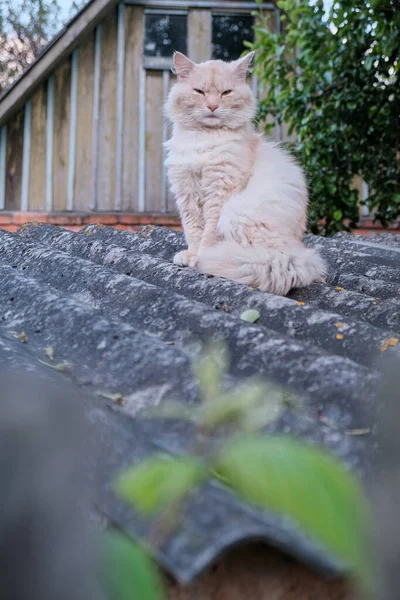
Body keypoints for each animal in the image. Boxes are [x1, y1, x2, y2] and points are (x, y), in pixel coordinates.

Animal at [164, 51, 326, 296]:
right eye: (199, 92)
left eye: (226, 93)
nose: (212, 106)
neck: (205, 139)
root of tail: (294, 254)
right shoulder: (187, 190)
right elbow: (193, 230)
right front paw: (190, 255)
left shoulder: (219, 191)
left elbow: (207, 234)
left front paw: (200, 257)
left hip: (237, 213)